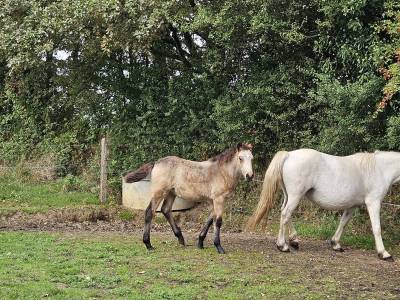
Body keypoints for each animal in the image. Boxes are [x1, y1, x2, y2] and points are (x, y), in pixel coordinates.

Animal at [247, 149, 400, 260]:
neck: (380, 169)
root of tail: (289, 154)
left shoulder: (352, 206)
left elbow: (343, 223)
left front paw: (336, 244)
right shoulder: (373, 203)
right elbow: (377, 228)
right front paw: (383, 253)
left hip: (289, 196)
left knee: (284, 212)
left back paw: (294, 240)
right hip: (296, 196)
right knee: (285, 214)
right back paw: (282, 246)